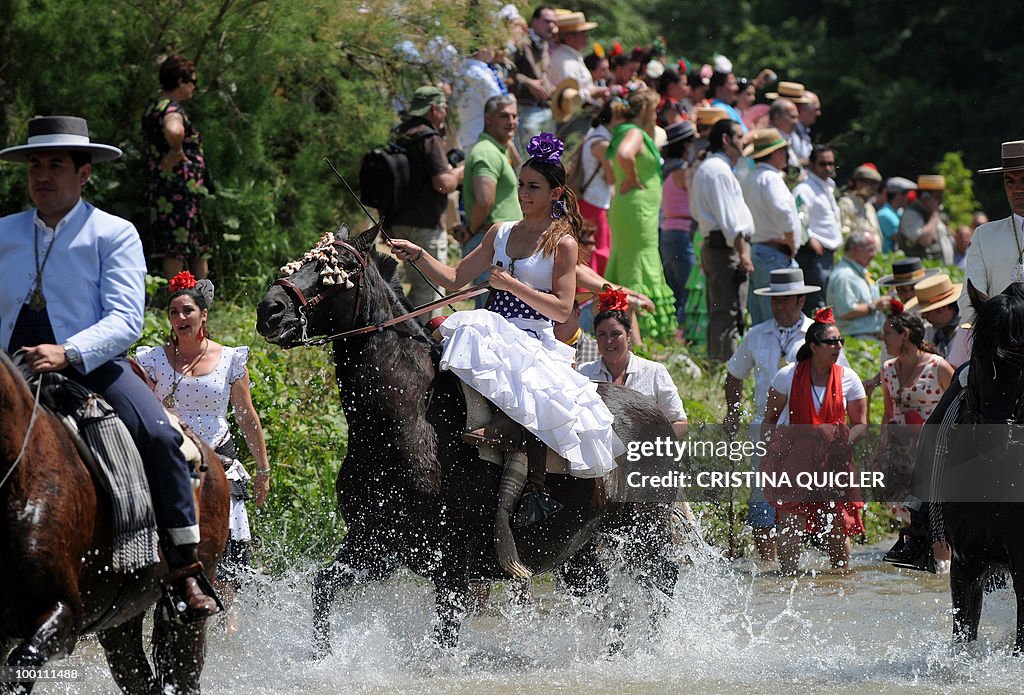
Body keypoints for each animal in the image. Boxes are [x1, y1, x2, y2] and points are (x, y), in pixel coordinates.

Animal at [258, 225, 679, 655]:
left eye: (338, 267)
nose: (269, 310)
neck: (405, 423)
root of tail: (658, 413)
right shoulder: (375, 544)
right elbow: (322, 588)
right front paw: (322, 657)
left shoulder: (449, 565)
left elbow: (442, 640)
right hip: (581, 546)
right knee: (611, 603)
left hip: (643, 531)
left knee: (663, 582)